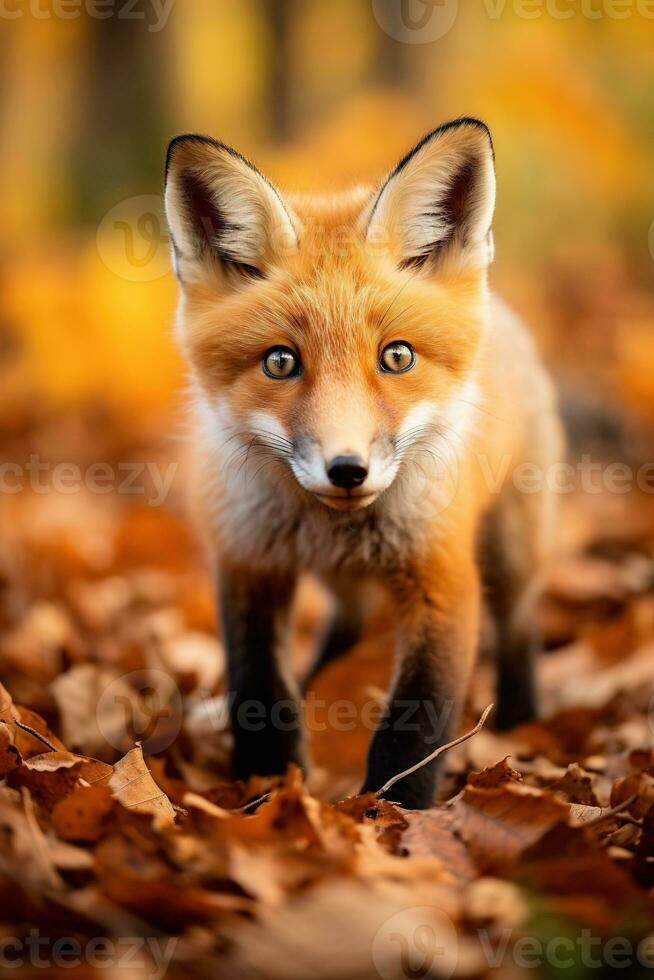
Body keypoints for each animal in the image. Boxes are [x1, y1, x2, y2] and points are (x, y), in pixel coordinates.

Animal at [164, 118, 564, 808]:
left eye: (397, 357)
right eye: (280, 362)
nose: (347, 469)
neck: (336, 528)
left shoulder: (443, 577)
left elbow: (415, 723)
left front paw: (391, 811)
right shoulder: (246, 561)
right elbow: (259, 693)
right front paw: (267, 789)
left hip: (514, 550)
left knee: (518, 630)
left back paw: (520, 719)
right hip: (337, 583)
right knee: (343, 633)